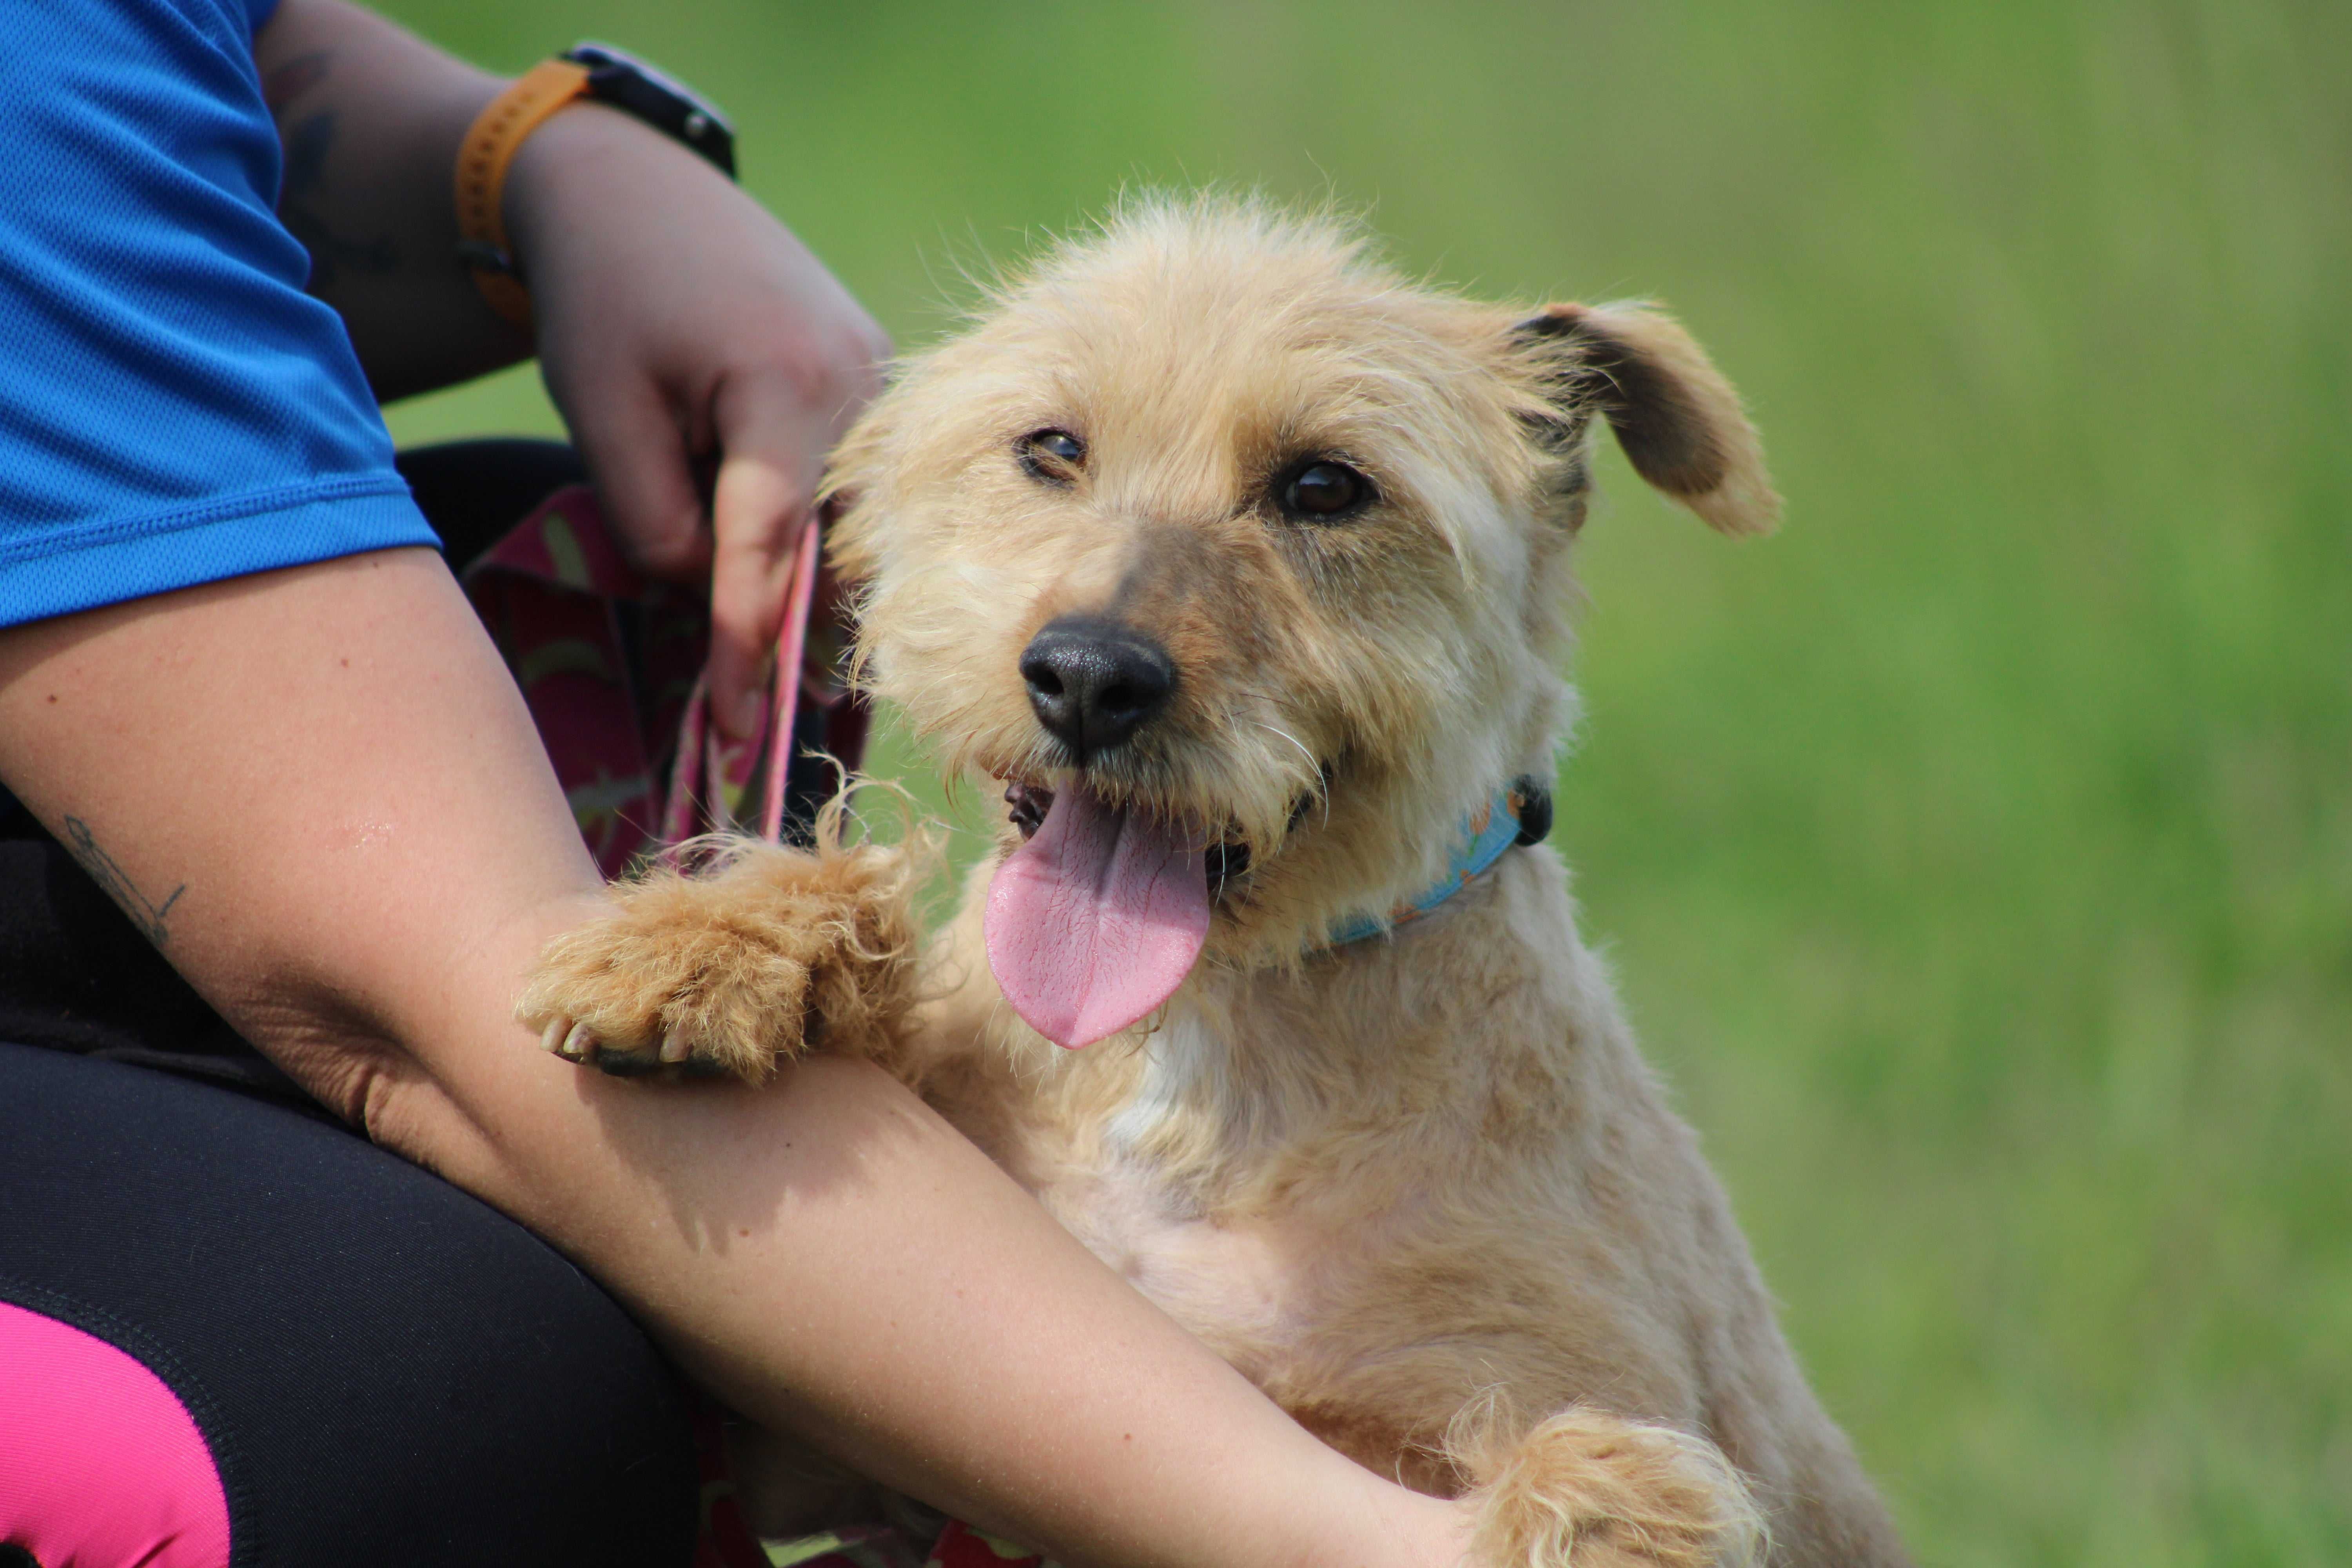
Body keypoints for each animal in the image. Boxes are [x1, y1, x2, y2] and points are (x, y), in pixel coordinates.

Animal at [529, 196, 1910, 1568]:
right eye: (1051, 447)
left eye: (1324, 485)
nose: (1089, 678)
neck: (1188, 1051)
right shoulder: (790, 1441)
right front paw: (701, 949)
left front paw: (1600, 1505)